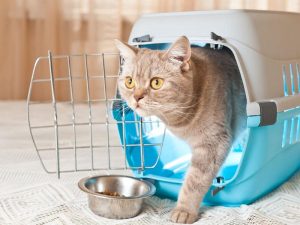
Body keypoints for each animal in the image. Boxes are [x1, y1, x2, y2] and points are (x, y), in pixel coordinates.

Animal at [115, 37, 246, 223]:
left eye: (156, 83)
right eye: (129, 81)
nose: (137, 97)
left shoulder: (214, 144)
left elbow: (194, 181)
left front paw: (184, 210)